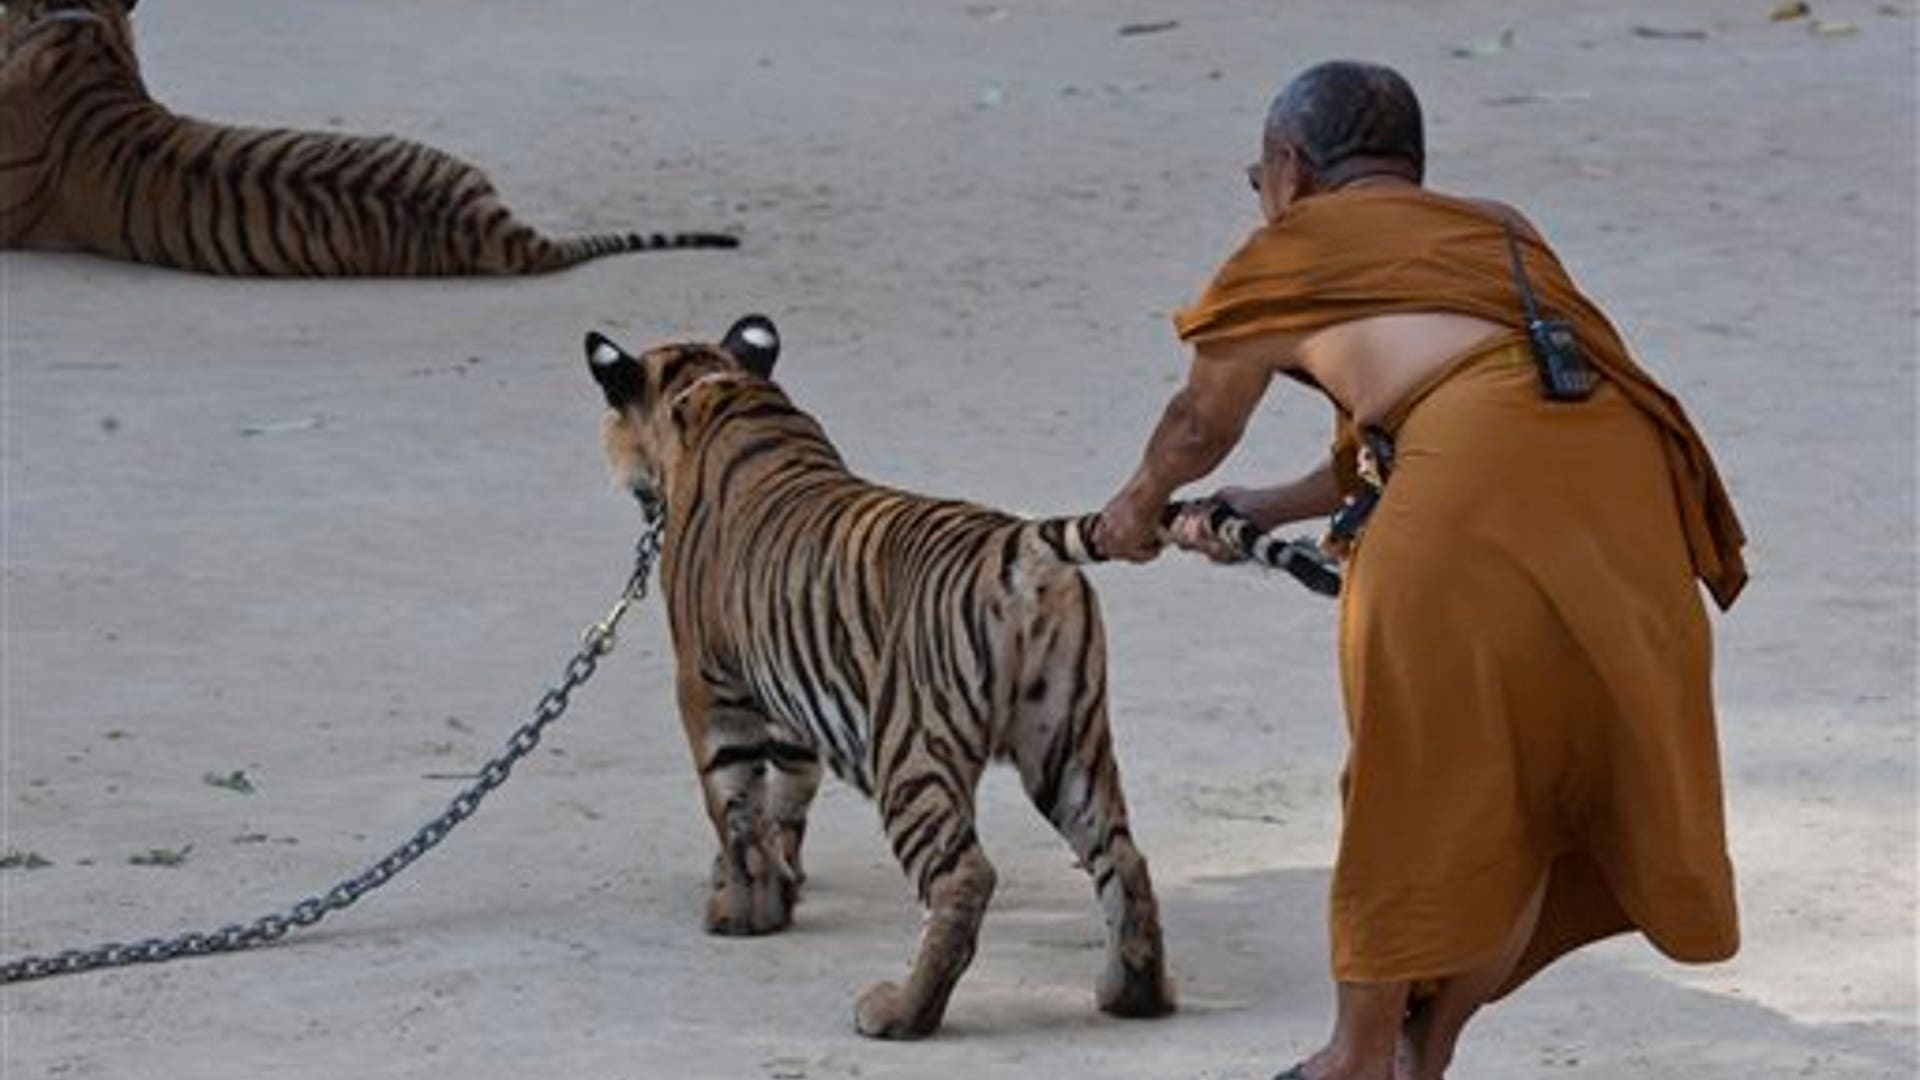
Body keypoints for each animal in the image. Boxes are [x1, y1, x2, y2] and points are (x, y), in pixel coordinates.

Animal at [585, 316, 1175, 1039]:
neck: (717, 385)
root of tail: (1018, 543)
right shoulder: (791, 693)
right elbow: (786, 797)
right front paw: (782, 887)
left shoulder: (708, 686)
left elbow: (735, 805)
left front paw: (740, 912)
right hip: (1066, 742)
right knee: (1124, 858)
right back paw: (1134, 992)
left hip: (911, 748)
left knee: (964, 878)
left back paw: (900, 1012)